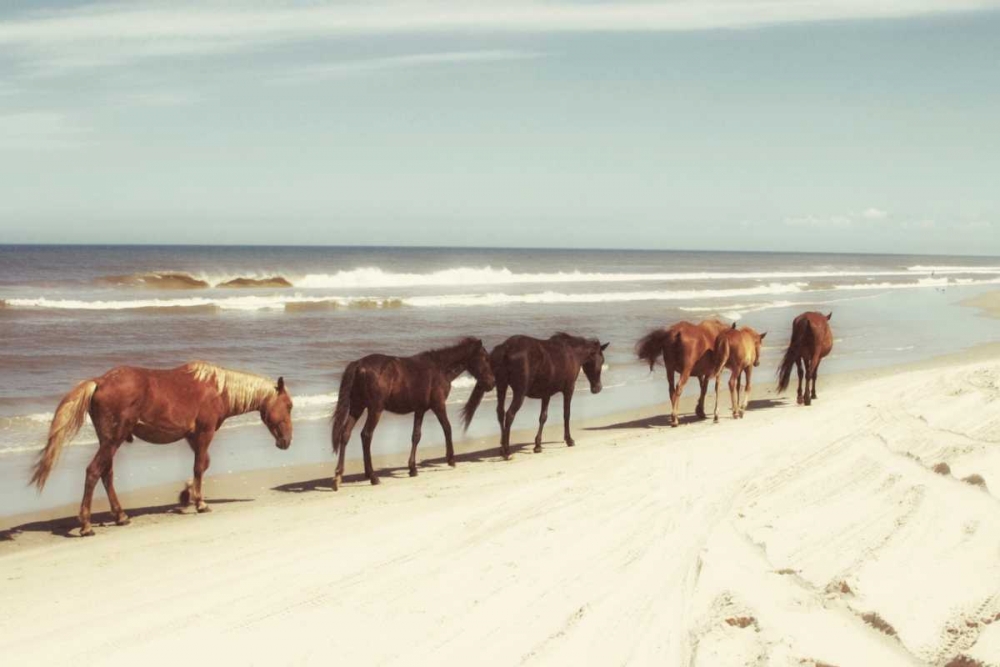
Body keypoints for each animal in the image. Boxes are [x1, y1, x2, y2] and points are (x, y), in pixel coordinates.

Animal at [30, 362, 293, 536]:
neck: (219, 389)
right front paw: (199, 502)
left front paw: (186, 495)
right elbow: (200, 466)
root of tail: (100, 381)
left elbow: (202, 465)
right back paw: (86, 525)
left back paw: (121, 516)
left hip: (108, 441)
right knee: (94, 472)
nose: (287, 441)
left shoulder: (192, 436)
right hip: (112, 440)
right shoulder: (204, 433)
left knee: (106, 474)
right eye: (289, 405)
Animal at [330, 337, 495, 490]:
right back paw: (372, 477)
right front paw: (451, 459)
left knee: (345, 434)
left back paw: (338, 476)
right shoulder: (438, 405)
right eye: (485, 358)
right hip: (374, 409)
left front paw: (413, 469)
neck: (439, 367)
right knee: (366, 435)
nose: (491, 383)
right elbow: (447, 428)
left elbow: (416, 436)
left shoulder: (420, 409)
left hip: (357, 407)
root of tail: (358, 365)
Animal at [461, 333, 608, 460]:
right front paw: (569, 439)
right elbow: (566, 414)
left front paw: (538, 445)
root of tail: (505, 347)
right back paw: (507, 452)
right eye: (601, 361)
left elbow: (543, 417)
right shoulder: (568, 389)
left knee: (500, 413)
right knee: (509, 415)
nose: (597, 388)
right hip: (519, 393)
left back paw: (502, 448)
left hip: (501, 387)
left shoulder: (546, 393)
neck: (572, 352)